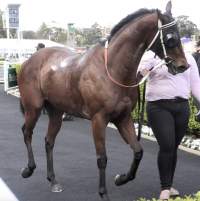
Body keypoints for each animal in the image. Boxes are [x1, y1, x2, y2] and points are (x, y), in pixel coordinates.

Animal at [18, 2, 188, 200]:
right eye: (170, 37)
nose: (183, 65)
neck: (111, 70)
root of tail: (30, 60)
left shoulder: (123, 118)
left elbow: (138, 150)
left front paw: (121, 178)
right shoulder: (98, 120)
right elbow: (102, 158)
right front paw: (103, 193)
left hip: (56, 111)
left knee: (49, 141)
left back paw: (53, 180)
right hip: (33, 107)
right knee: (27, 132)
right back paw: (28, 169)